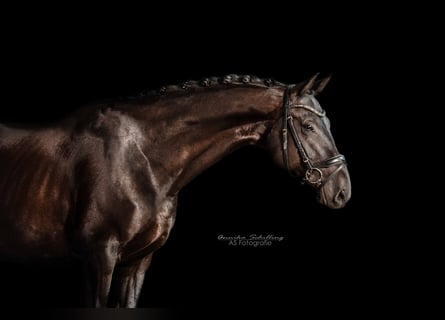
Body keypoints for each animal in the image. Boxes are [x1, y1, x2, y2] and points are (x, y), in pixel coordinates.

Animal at [0, 73, 350, 308]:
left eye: (329, 124)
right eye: (308, 126)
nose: (342, 190)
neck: (142, 158)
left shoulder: (138, 260)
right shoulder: (99, 256)